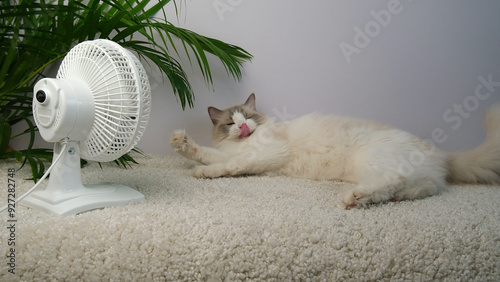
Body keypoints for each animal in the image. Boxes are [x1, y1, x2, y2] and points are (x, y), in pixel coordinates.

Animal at [171, 93, 500, 208]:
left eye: (248, 117)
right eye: (230, 122)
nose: (242, 128)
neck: (244, 142)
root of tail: (441, 152)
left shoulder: (265, 153)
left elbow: (229, 166)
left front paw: (205, 171)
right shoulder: (232, 151)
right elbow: (208, 154)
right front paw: (182, 144)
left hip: (371, 161)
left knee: (392, 180)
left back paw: (355, 199)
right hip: (401, 176)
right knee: (419, 187)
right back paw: (389, 198)